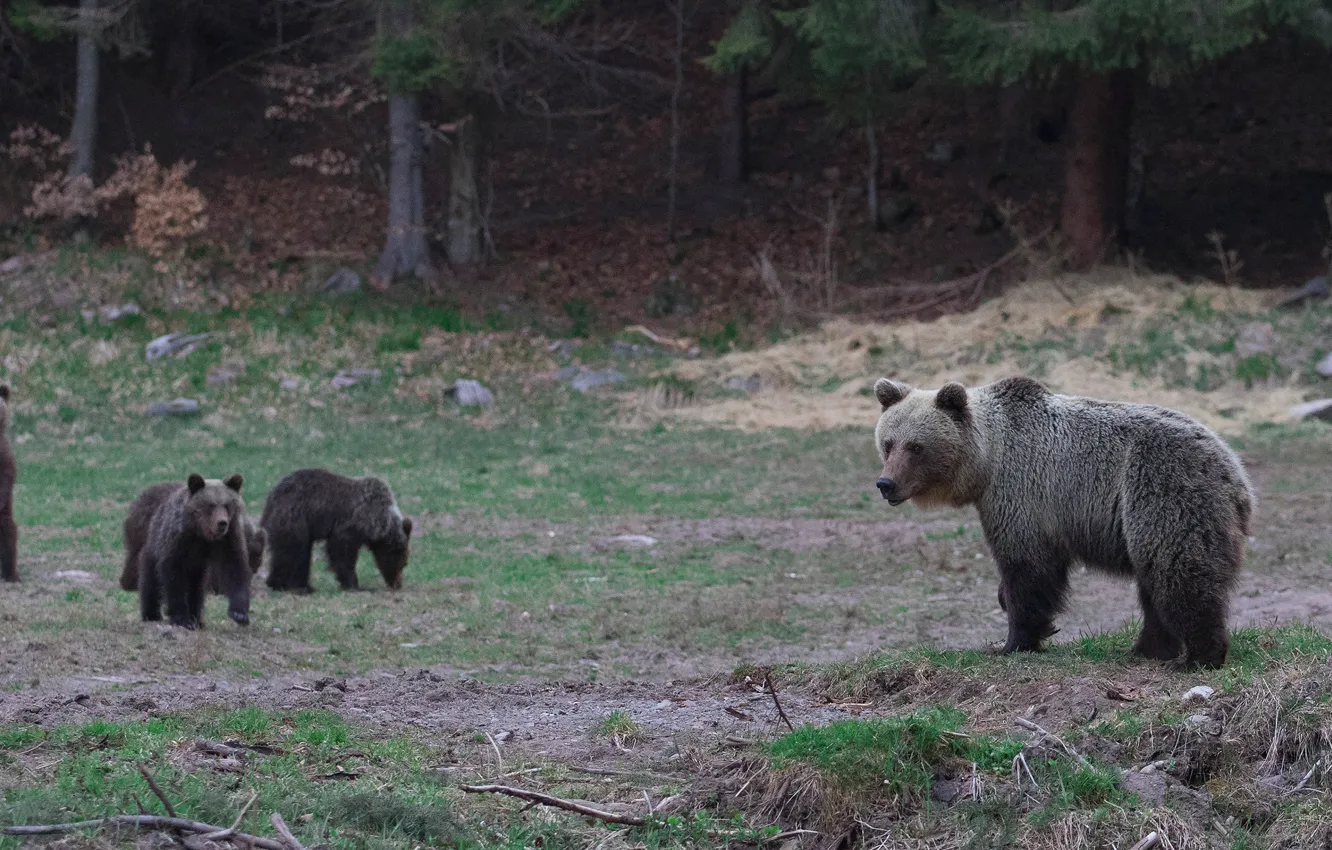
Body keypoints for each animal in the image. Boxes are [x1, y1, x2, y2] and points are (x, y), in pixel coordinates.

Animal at [139, 473, 252, 629]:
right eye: (211, 505)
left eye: (227, 505)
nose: (222, 523)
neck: (203, 534)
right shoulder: (180, 542)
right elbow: (173, 578)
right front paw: (181, 618)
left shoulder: (228, 540)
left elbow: (236, 569)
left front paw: (239, 613)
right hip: (154, 545)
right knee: (151, 581)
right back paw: (151, 614)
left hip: (198, 568)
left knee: (197, 588)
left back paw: (197, 618)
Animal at [262, 468, 412, 593]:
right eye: (403, 563)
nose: (398, 585)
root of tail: (271, 497)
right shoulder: (351, 524)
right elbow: (342, 551)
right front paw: (355, 585)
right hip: (295, 517)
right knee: (293, 551)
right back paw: (295, 587)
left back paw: (289, 584)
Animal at [872, 375, 1253, 670]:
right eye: (888, 443)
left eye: (916, 447)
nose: (886, 483)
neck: (988, 460)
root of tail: (1236, 475)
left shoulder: (1021, 493)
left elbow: (1028, 569)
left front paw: (1013, 641)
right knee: (1154, 582)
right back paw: (1148, 649)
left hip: (1162, 492)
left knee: (1180, 573)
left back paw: (1198, 657)